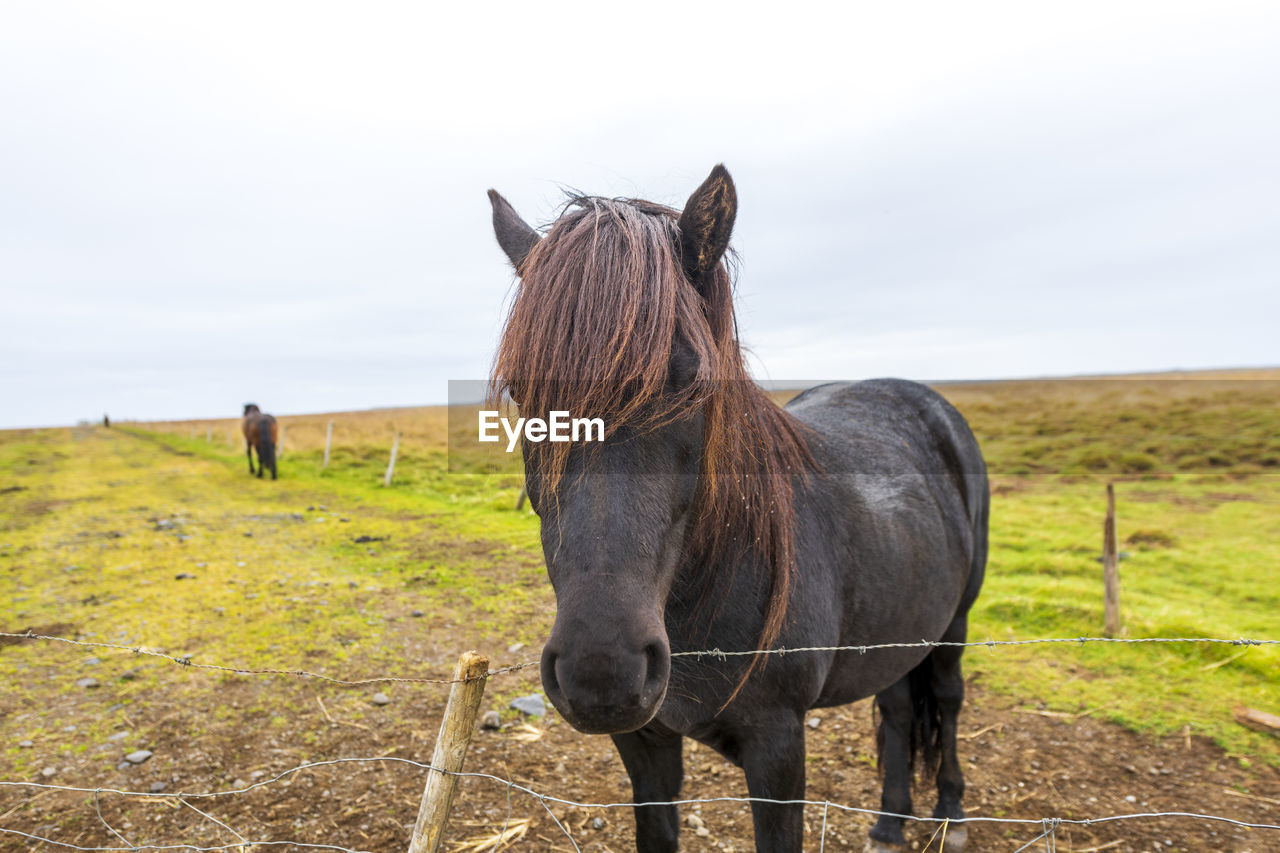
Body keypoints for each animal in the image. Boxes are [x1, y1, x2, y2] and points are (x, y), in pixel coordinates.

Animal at [488, 166, 988, 850]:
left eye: (693, 381)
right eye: (520, 391)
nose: (602, 670)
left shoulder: (777, 748)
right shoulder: (644, 741)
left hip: (954, 625)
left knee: (947, 697)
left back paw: (952, 815)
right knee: (896, 706)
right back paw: (889, 823)